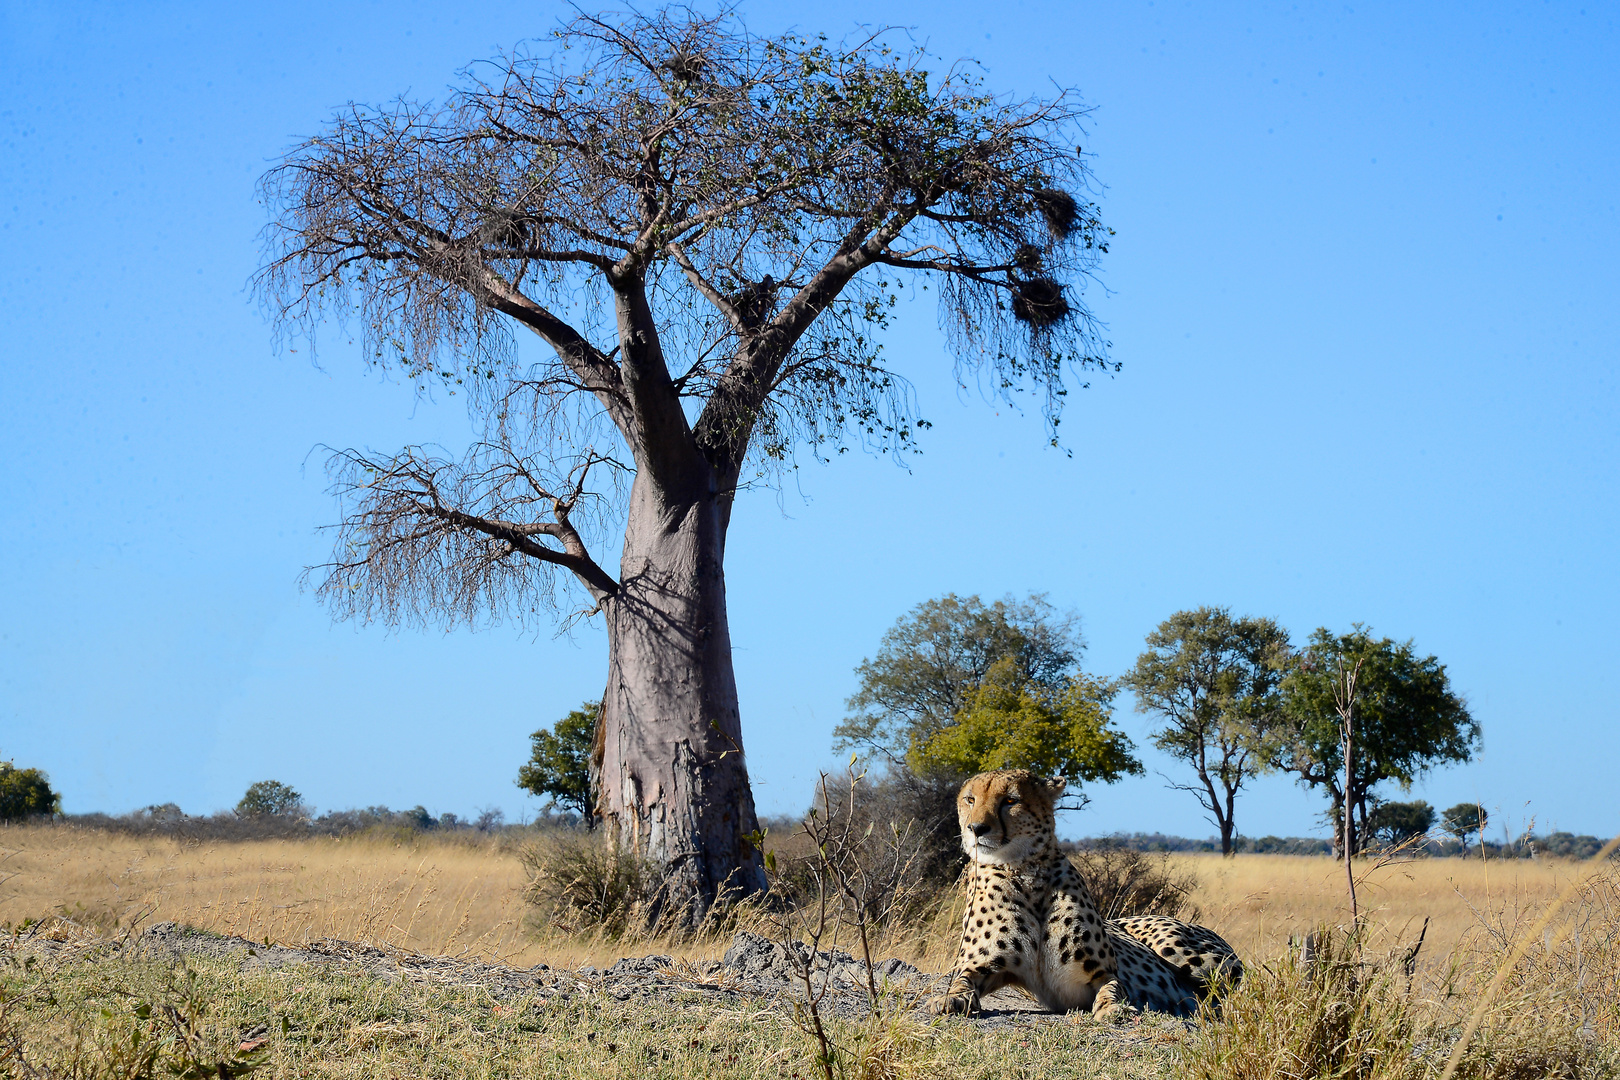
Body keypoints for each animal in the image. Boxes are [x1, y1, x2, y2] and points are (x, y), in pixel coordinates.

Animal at [926, 773, 1237, 1016]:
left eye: (1010, 801)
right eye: (970, 800)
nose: (976, 829)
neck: (1025, 872)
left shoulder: (1104, 972)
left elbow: (1113, 990)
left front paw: (1113, 1009)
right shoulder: (980, 965)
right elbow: (959, 981)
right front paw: (949, 999)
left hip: (1183, 951)